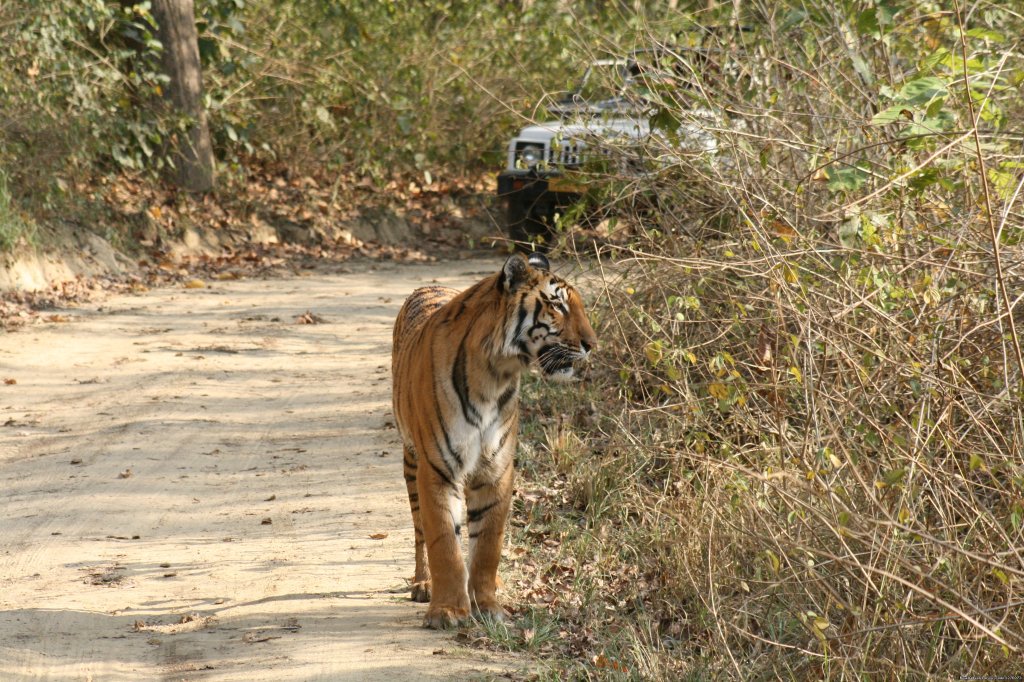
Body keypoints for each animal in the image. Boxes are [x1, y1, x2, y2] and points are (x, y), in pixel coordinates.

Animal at [391, 250, 598, 626]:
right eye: (558, 306)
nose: (592, 345)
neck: (496, 373)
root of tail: (427, 286)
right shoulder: (437, 468)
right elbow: (443, 541)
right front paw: (446, 610)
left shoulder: (496, 469)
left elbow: (488, 543)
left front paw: (487, 605)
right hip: (411, 459)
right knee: (419, 530)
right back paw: (424, 583)